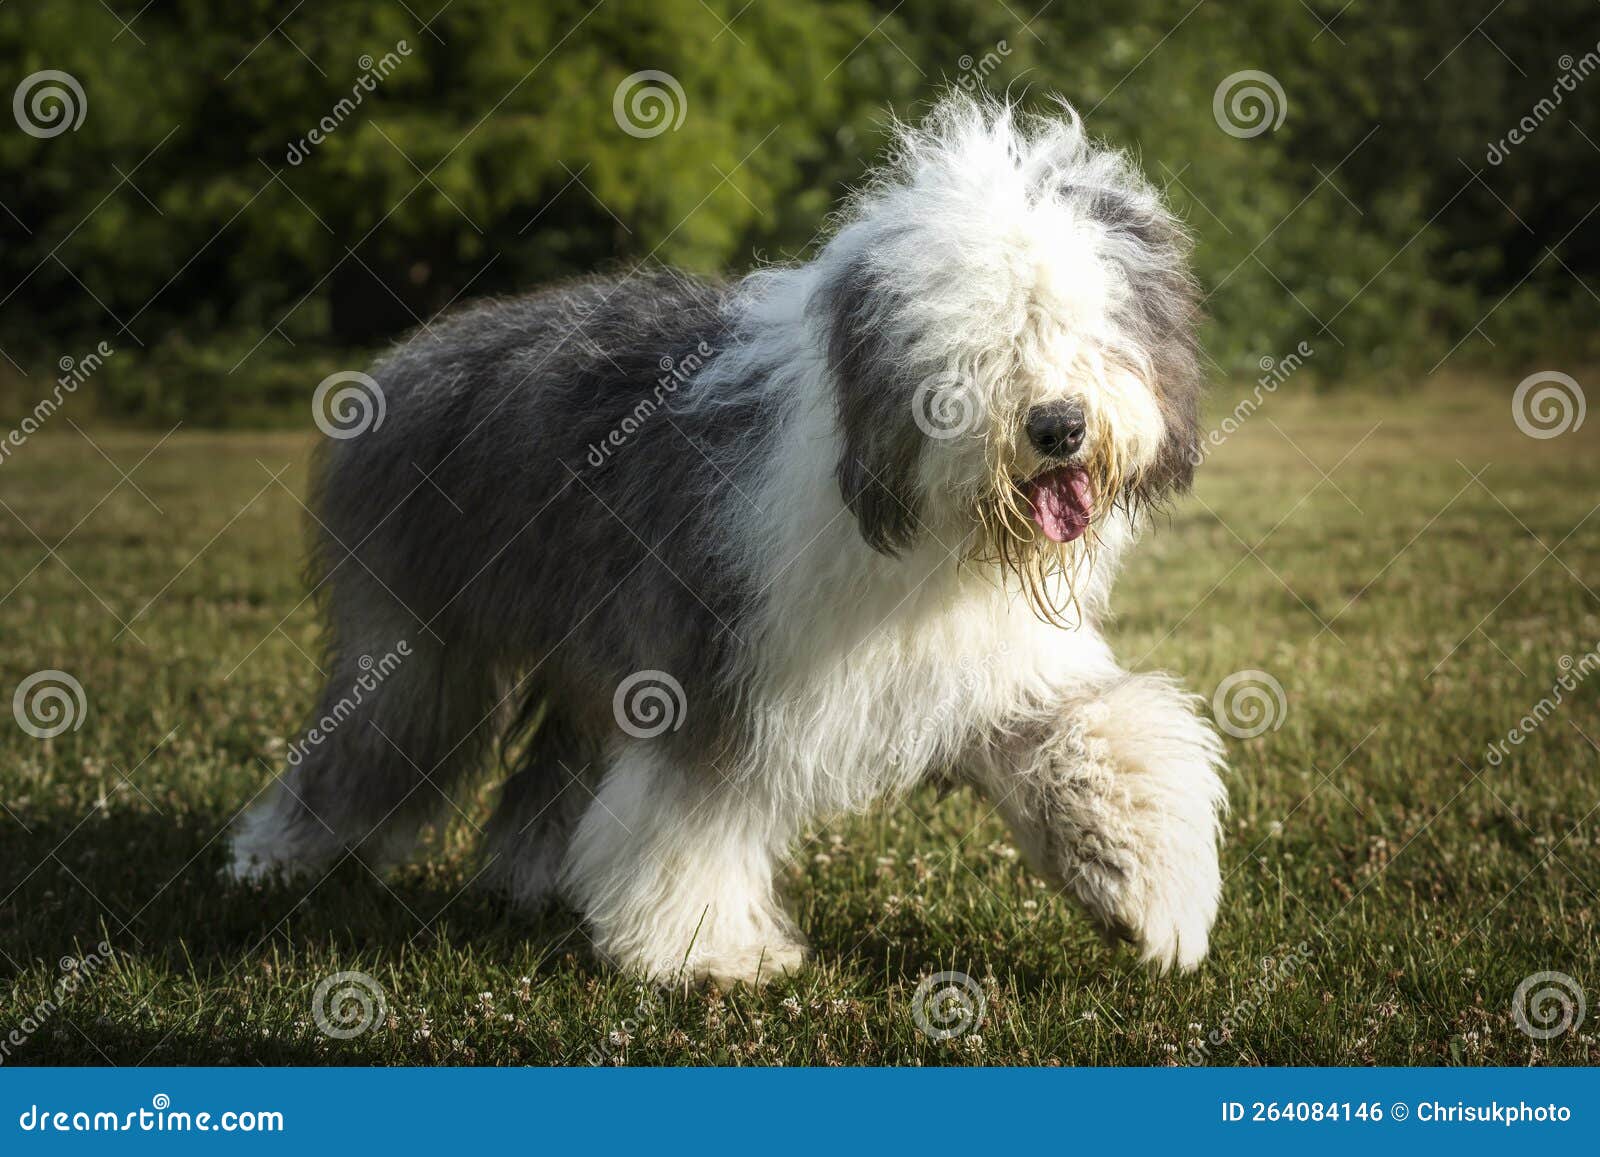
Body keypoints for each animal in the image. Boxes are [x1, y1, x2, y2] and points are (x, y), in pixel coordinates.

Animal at [228, 97, 1222, 985]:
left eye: (1085, 324)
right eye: (979, 344)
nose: (1058, 427)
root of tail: (409, 355)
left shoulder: (984, 659)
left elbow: (1090, 732)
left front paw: (1150, 896)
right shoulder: (709, 661)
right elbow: (692, 811)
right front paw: (708, 953)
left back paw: (529, 879)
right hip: (417, 629)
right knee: (374, 741)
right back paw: (275, 857)